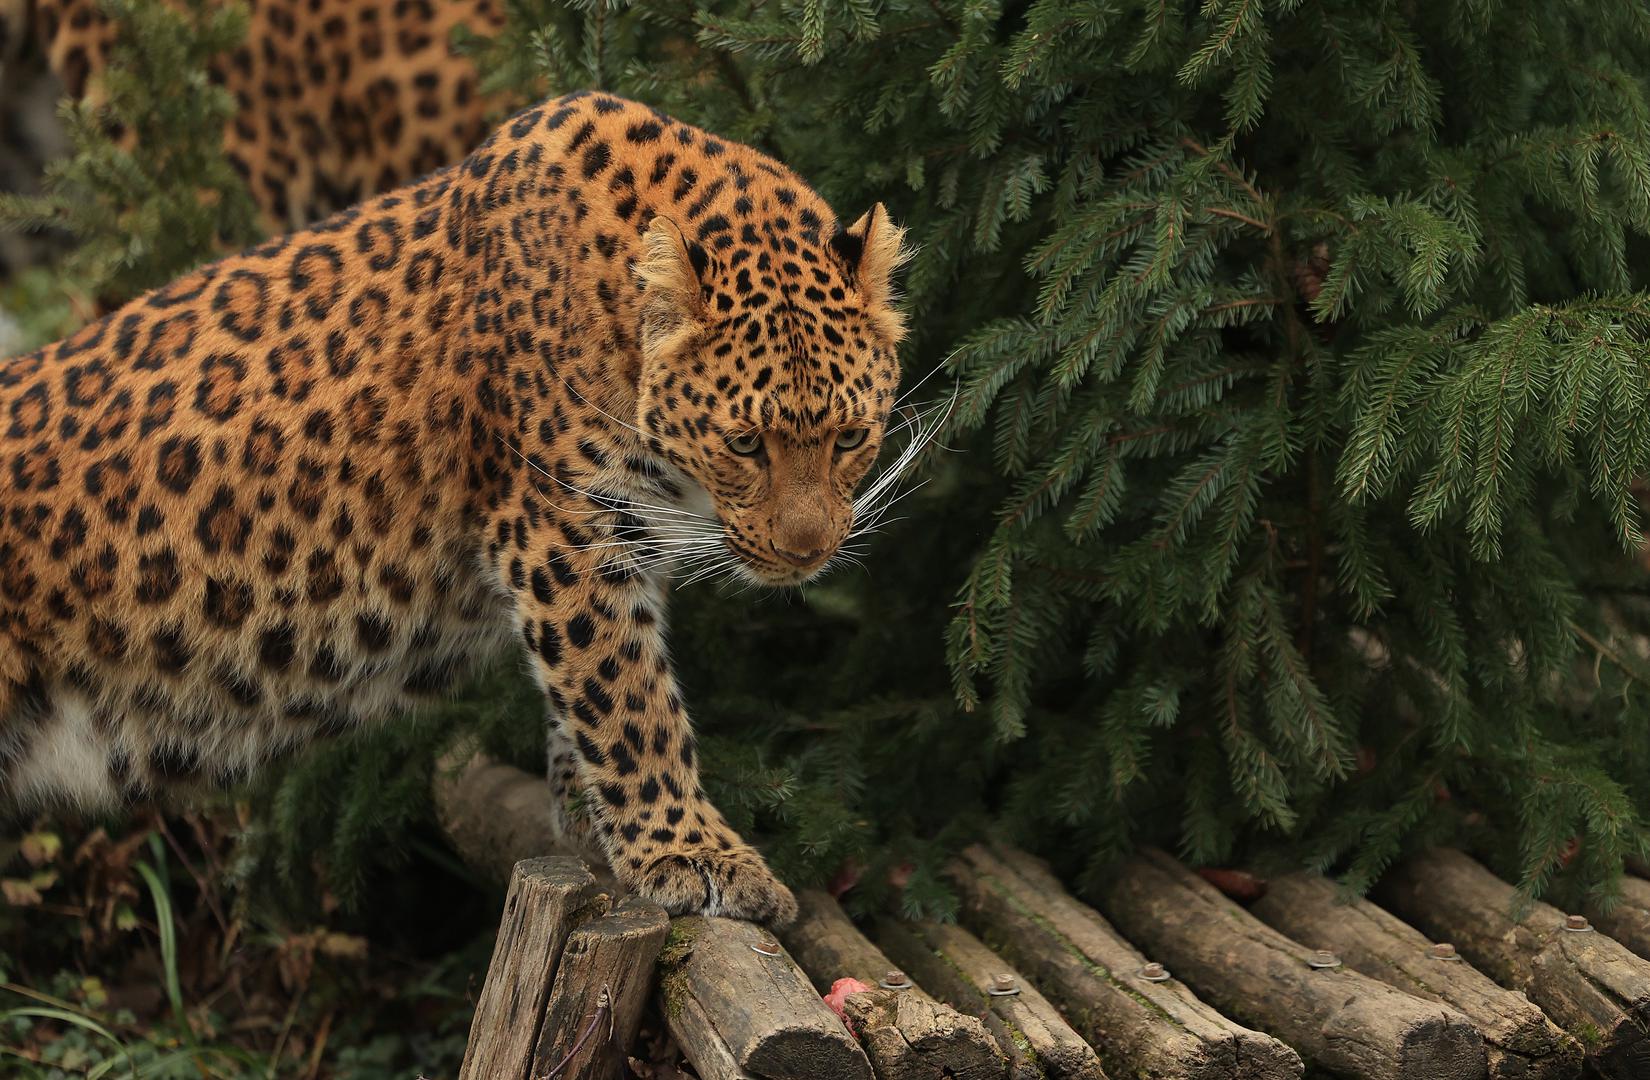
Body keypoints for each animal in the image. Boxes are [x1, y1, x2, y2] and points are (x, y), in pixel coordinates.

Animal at [0, 88, 917, 923]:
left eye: (849, 436)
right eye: (745, 443)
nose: (807, 552)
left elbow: (595, 699)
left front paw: (590, 820)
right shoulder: (560, 531)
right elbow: (627, 701)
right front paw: (690, 852)